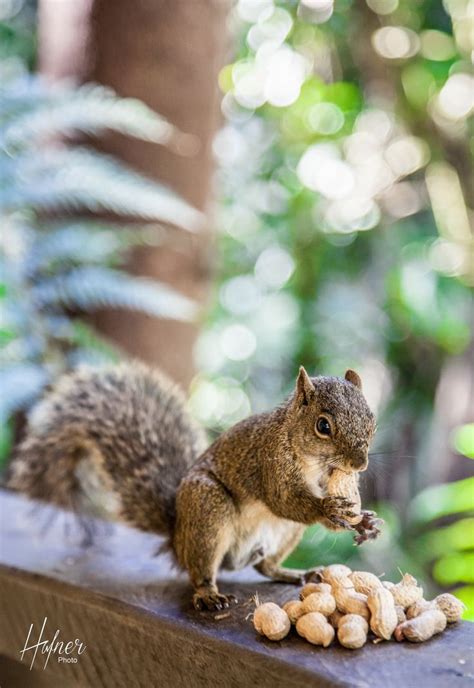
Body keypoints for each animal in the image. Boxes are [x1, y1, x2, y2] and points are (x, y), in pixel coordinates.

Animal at [6, 362, 382, 612]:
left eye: (371, 420)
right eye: (323, 425)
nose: (360, 465)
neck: (317, 465)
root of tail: (177, 536)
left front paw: (365, 521)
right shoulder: (270, 464)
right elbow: (284, 500)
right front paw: (327, 508)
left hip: (285, 533)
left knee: (264, 566)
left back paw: (295, 573)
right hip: (208, 510)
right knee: (201, 569)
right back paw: (208, 594)